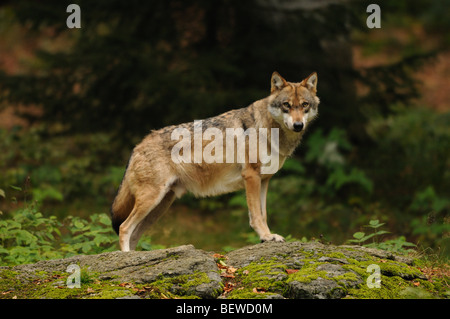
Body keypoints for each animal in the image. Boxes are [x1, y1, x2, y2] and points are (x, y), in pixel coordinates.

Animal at [110, 72, 318, 252]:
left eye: (305, 105)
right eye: (286, 105)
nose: (298, 125)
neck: (269, 129)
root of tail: (138, 145)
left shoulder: (264, 180)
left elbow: (263, 213)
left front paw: (268, 237)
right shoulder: (251, 177)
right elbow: (256, 216)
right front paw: (266, 236)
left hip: (159, 206)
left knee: (134, 234)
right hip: (151, 200)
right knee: (124, 228)